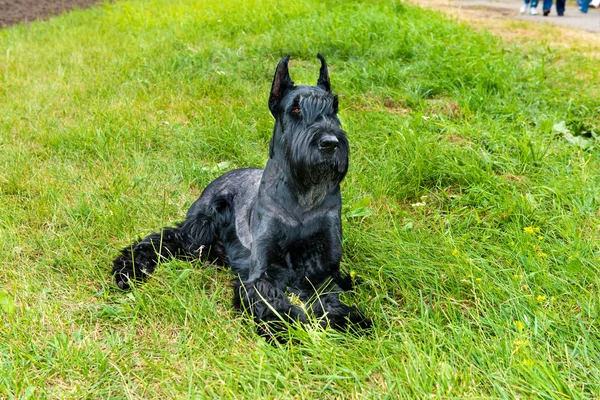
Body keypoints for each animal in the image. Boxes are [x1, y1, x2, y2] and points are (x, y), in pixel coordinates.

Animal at [110, 54, 368, 340]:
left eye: (334, 107)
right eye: (295, 109)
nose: (330, 143)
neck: (302, 197)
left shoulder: (323, 269)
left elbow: (328, 297)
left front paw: (347, 320)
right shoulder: (263, 271)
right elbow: (271, 301)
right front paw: (288, 327)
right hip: (200, 226)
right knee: (163, 239)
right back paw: (129, 269)